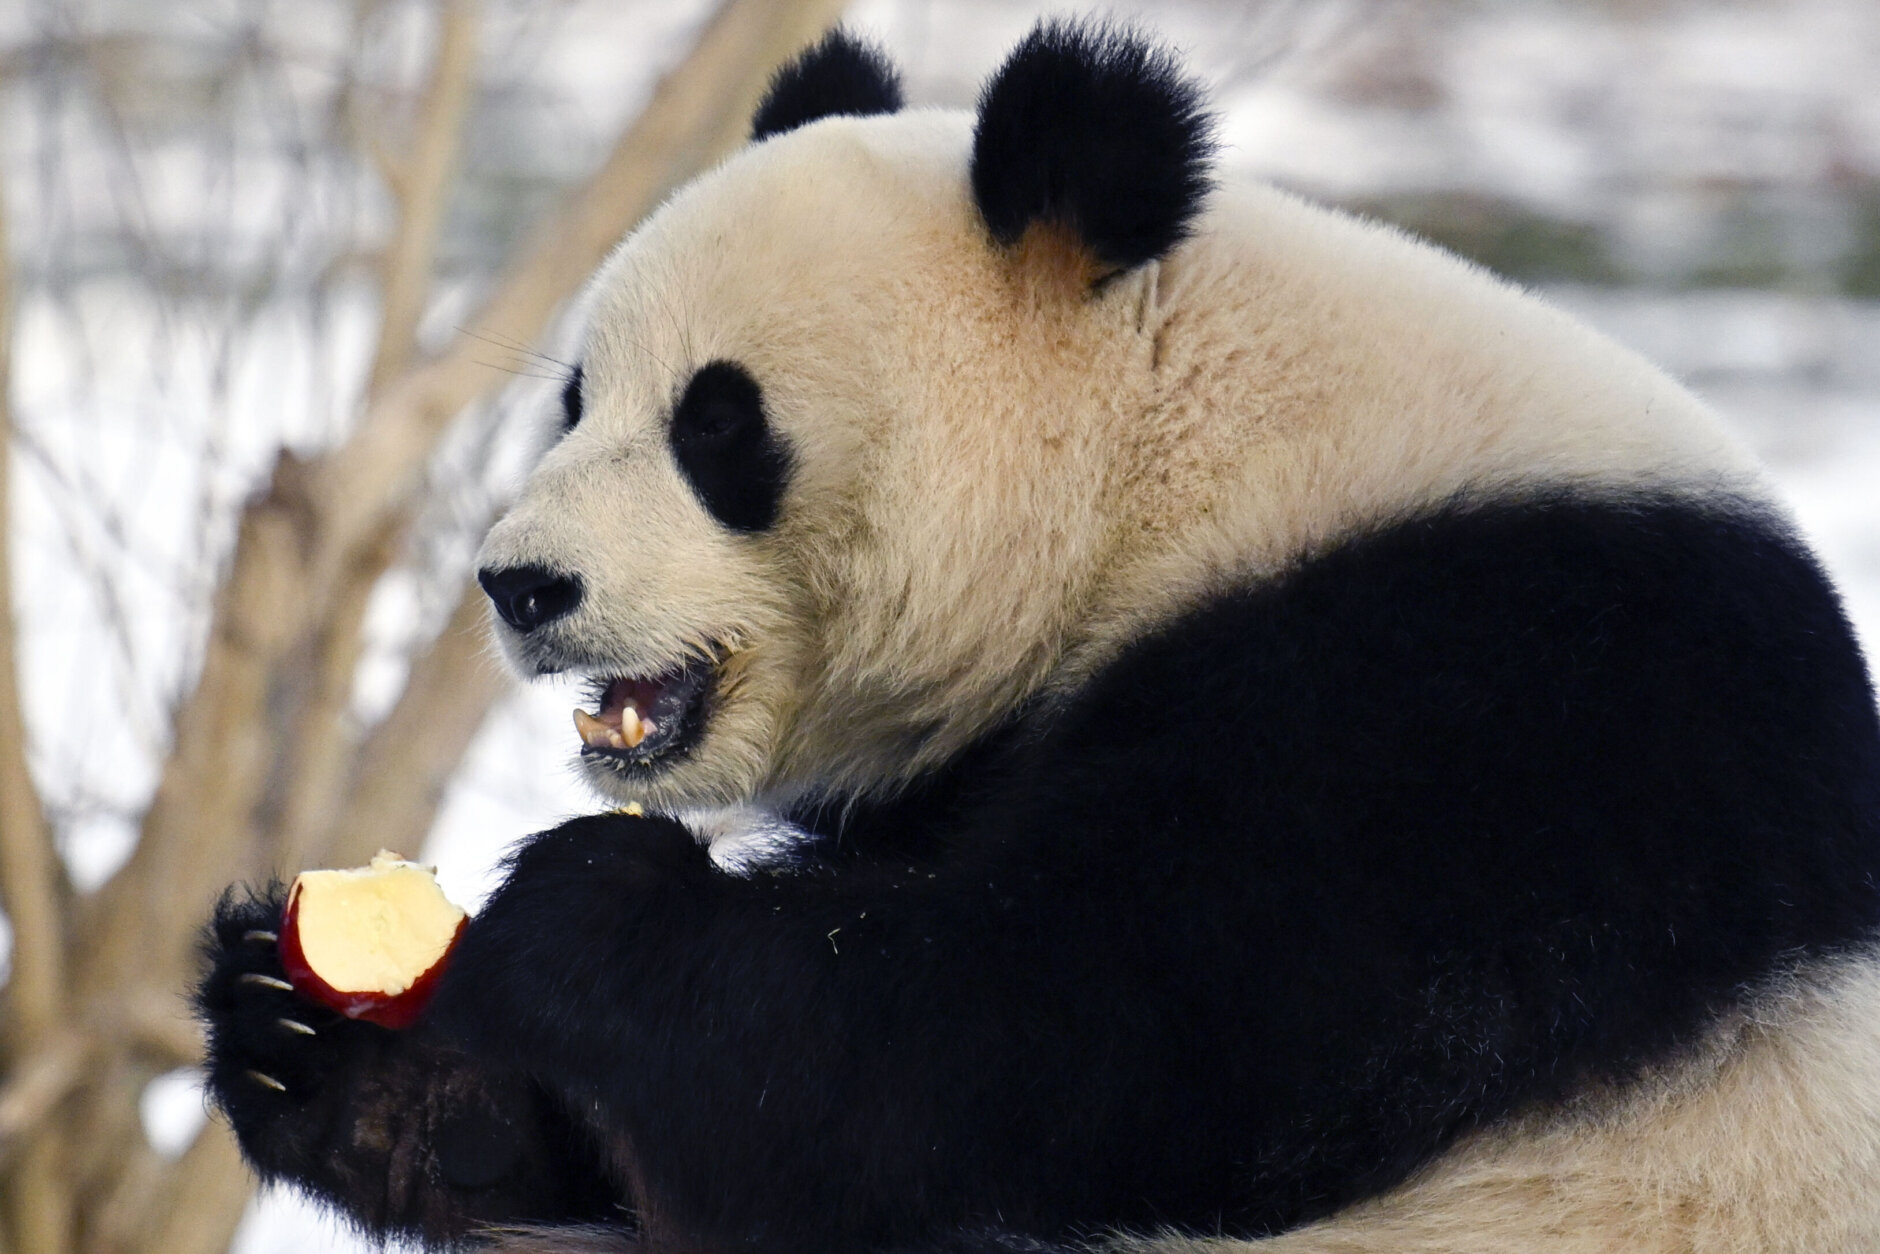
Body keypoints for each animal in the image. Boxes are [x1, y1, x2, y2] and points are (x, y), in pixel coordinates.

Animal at [198, 22, 1880, 1254]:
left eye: (719, 423)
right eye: (575, 397)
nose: (520, 584)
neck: (1175, 443)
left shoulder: (1483, 713)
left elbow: (1051, 1054)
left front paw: (593, 907)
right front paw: (317, 1041)